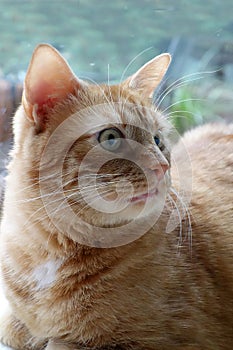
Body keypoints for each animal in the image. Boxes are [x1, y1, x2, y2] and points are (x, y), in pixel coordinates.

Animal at [0, 44, 233, 350]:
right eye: (110, 137)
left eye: (158, 140)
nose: (162, 166)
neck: (49, 251)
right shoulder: (13, 322)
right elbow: (18, 328)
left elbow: (59, 342)